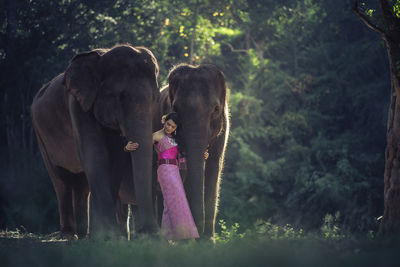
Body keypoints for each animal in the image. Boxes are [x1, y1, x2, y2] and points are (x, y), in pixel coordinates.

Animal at [31, 45, 159, 240]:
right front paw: (110, 236)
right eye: (120, 97)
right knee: (60, 179)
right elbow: (97, 156)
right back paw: (69, 235)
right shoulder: (77, 105)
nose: (151, 232)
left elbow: (115, 161)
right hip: (41, 134)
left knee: (82, 183)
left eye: (154, 99)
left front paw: (114, 236)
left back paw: (85, 235)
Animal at [156, 63, 231, 241]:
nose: (199, 233)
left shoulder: (224, 129)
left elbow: (213, 168)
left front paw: (208, 242)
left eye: (216, 109)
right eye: (175, 108)